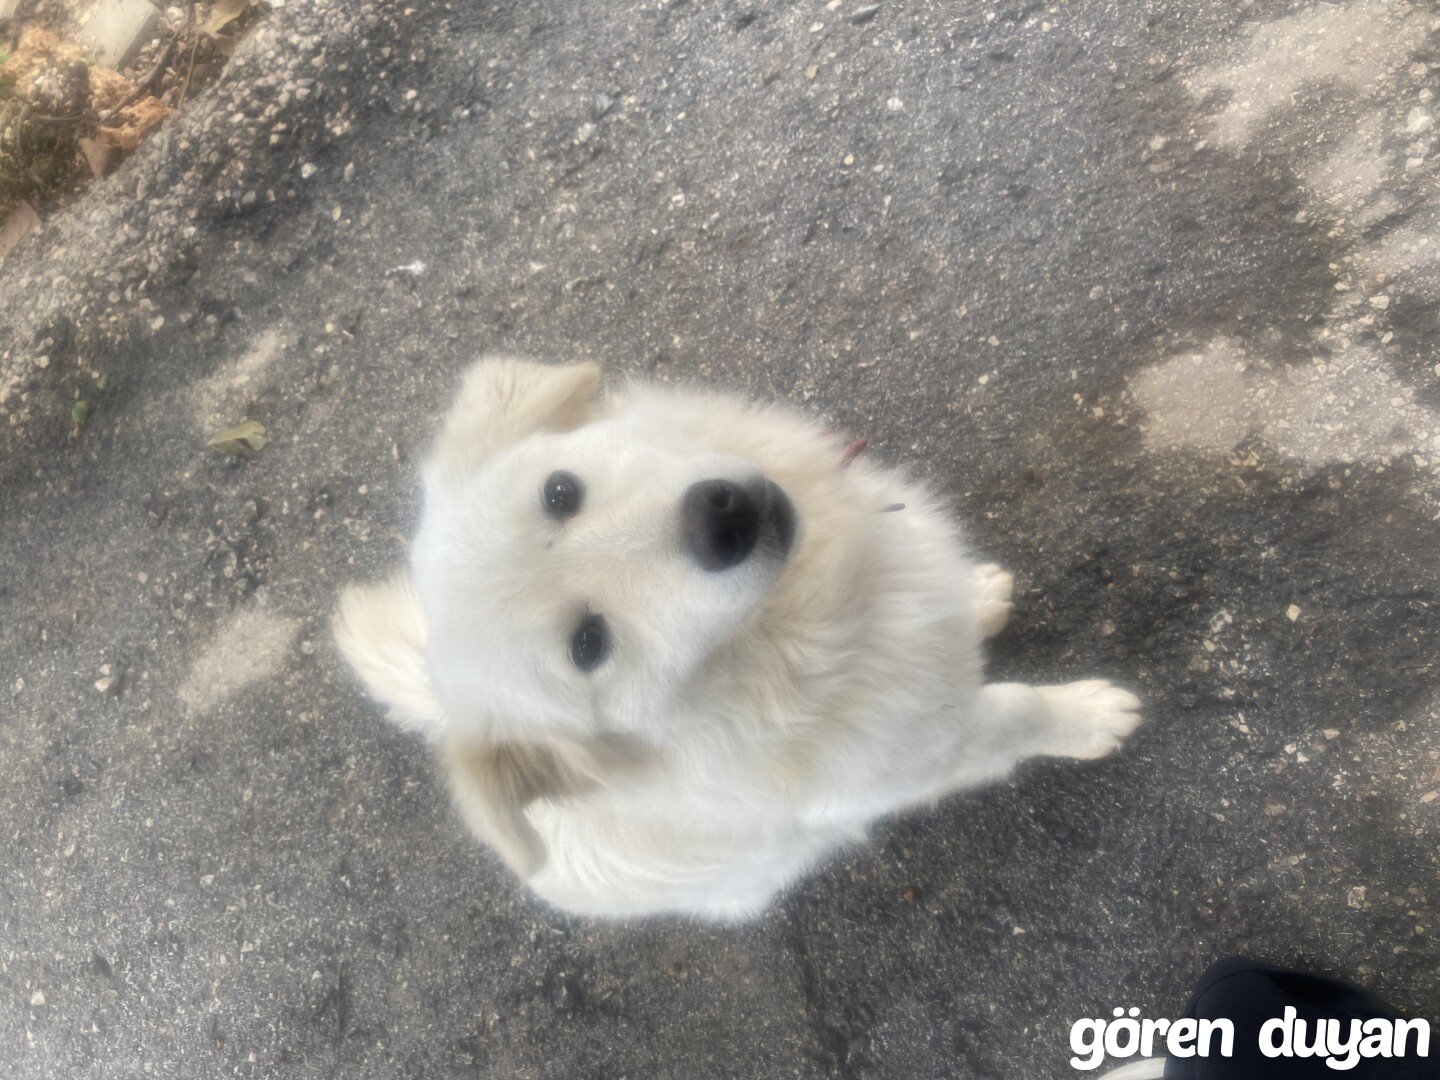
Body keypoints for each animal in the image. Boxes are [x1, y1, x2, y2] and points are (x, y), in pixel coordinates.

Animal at [334, 358, 1142, 920]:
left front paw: (978, 598)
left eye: (560, 493)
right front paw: (1093, 718)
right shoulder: (934, 753)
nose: (721, 518)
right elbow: (1017, 713)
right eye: (589, 645)